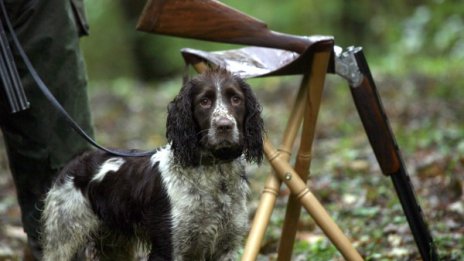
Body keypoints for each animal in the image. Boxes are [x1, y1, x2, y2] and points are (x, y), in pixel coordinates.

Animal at [42, 68, 264, 258]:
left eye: (236, 99)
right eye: (204, 101)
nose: (224, 126)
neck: (215, 172)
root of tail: (76, 161)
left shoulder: (226, 246)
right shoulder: (168, 247)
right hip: (63, 240)